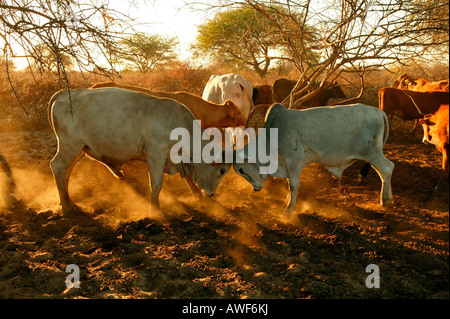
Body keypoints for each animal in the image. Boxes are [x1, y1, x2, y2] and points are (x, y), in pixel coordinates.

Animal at [234, 104, 396, 211]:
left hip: (371, 153)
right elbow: (289, 184)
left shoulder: (294, 161)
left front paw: (290, 207)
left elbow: (293, 184)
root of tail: (377, 111)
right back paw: (390, 197)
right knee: (384, 172)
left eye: (241, 170)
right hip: (372, 155)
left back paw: (384, 200)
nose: (255, 189)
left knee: (388, 168)